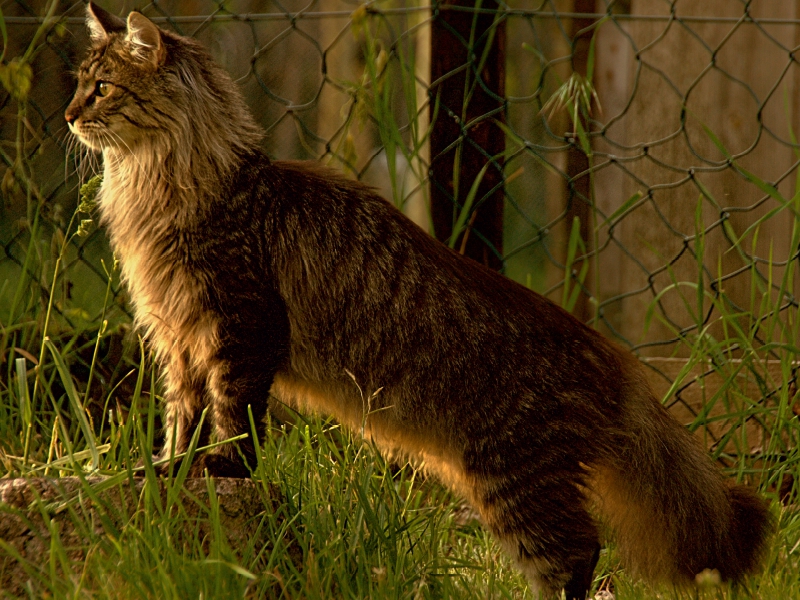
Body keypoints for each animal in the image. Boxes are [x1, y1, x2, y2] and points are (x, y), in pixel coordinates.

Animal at [65, 5, 772, 600]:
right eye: (79, 84)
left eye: (102, 89)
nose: (68, 115)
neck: (159, 183)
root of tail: (611, 360)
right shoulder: (179, 336)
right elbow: (181, 417)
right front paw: (166, 468)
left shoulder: (240, 324)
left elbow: (234, 418)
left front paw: (219, 469)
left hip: (515, 480)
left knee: (579, 557)